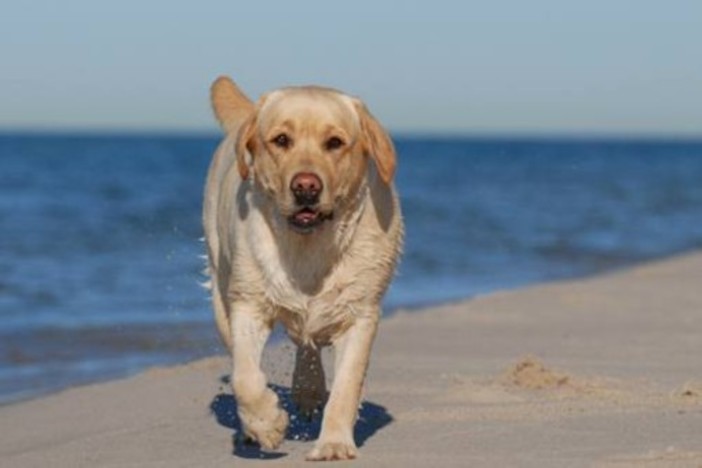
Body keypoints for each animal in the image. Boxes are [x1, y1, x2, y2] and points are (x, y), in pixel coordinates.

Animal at [201, 77, 404, 460]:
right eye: (282, 140)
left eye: (335, 142)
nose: (306, 186)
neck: (307, 247)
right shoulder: (248, 304)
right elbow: (245, 377)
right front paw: (266, 424)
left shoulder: (360, 314)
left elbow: (346, 386)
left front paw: (334, 442)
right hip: (221, 292)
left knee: (307, 345)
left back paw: (309, 391)